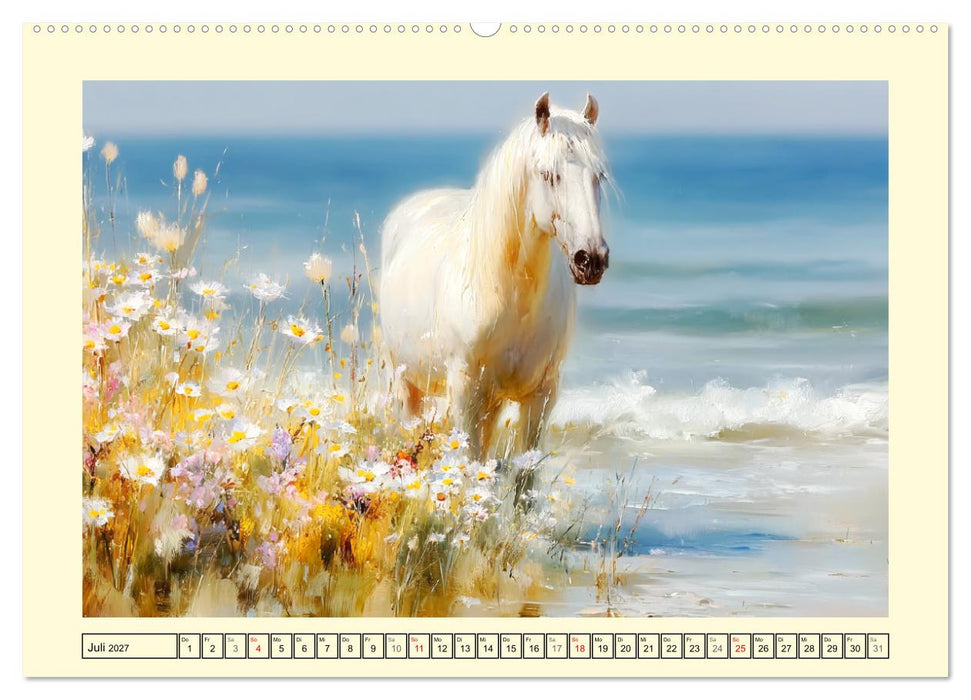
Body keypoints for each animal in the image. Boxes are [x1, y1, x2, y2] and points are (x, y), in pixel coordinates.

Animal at [379, 92, 610, 458]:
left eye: (598, 176)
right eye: (549, 175)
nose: (591, 260)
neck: (508, 294)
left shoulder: (540, 396)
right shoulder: (465, 393)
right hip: (406, 383)